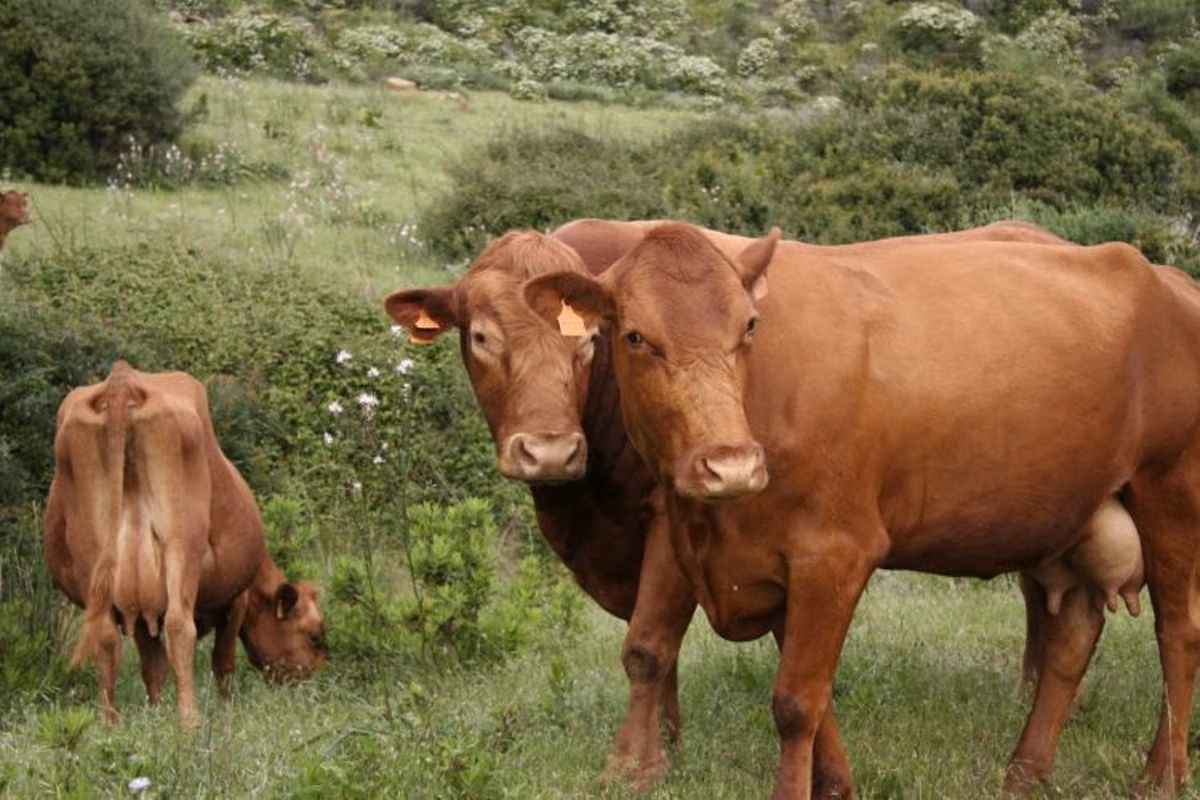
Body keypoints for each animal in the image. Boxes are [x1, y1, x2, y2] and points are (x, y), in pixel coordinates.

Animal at [44, 361, 327, 724]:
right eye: (314, 636)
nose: (315, 687)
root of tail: (122, 380)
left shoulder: (141, 612)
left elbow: (152, 666)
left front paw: (154, 713)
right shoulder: (236, 600)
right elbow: (223, 662)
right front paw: (227, 709)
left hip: (91, 557)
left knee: (105, 636)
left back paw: (110, 724)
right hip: (182, 545)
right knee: (180, 626)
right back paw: (189, 721)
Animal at [387, 217, 1132, 795]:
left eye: (590, 342)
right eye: (481, 337)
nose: (548, 452)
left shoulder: (678, 529)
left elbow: (655, 647)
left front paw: (645, 762)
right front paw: (673, 747)